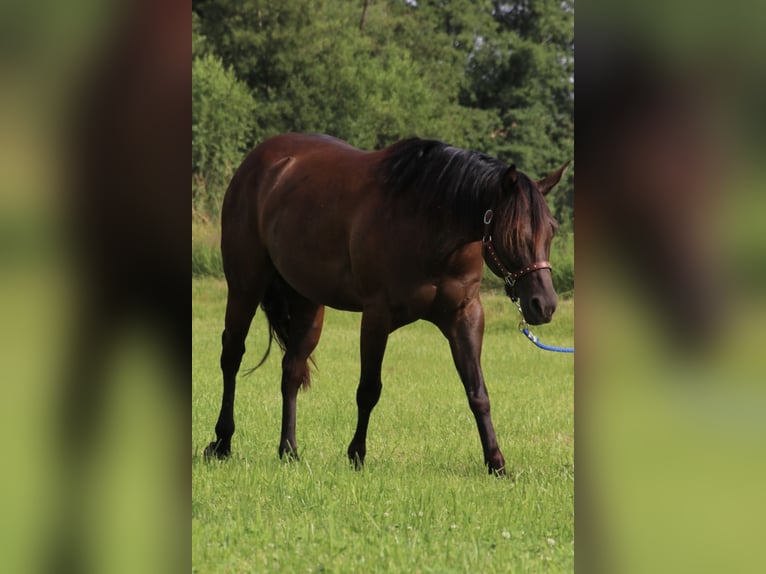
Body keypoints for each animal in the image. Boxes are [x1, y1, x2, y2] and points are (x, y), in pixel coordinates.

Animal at [204, 133, 568, 474]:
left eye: (551, 230)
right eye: (513, 233)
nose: (543, 305)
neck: (429, 222)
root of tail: (257, 162)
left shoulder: (465, 315)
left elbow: (477, 391)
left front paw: (496, 463)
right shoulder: (377, 315)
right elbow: (369, 389)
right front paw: (356, 455)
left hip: (308, 303)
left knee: (291, 369)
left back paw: (289, 450)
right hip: (245, 287)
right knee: (231, 357)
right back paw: (222, 441)